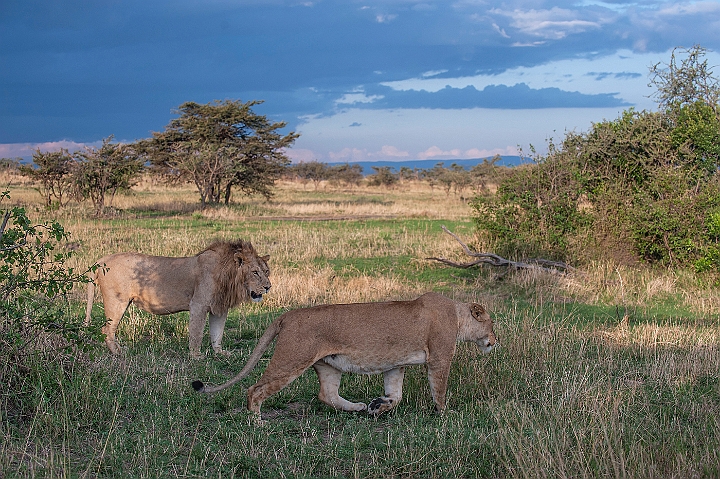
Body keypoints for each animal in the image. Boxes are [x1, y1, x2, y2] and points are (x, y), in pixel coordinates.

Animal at [86, 239, 272, 356]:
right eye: (255, 272)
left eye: (266, 271)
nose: (268, 287)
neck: (229, 276)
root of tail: (102, 259)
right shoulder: (198, 304)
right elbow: (197, 333)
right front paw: (196, 356)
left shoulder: (219, 308)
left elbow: (217, 333)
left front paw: (220, 353)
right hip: (117, 302)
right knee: (107, 330)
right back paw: (117, 352)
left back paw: (120, 349)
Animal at [191, 290, 496, 418]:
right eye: (491, 324)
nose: (495, 341)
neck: (457, 315)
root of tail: (287, 315)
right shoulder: (439, 358)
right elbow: (439, 389)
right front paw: (445, 414)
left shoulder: (395, 364)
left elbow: (395, 395)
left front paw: (378, 406)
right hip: (292, 358)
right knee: (254, 389)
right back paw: (257, 422)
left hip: (328, 365)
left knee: (327, 394)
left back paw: (359, 407)